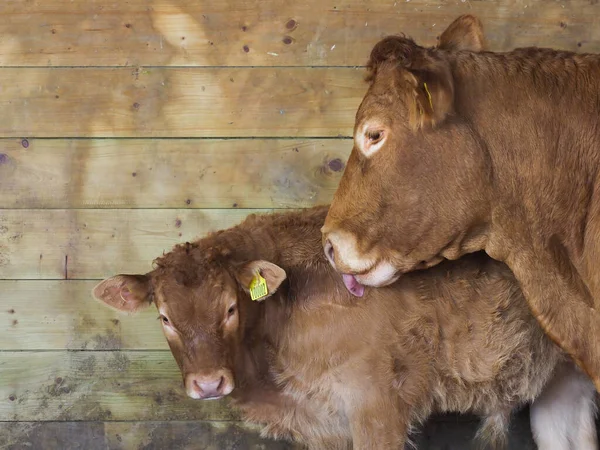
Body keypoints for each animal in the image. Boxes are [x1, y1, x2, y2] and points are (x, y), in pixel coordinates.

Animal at [92, 207, 596, 450]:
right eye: (165, 317)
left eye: (231, 308)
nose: (209, 383)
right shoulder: (322, 424)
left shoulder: (378, 405)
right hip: (562, 381)